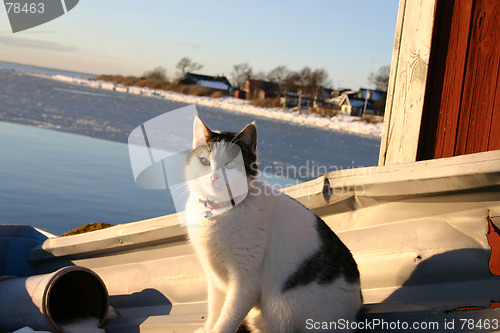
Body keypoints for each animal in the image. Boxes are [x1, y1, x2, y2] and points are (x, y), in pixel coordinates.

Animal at [186, 117, 362, 332]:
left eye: (230, 165)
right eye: (204, 161)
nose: (214, 177)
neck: (219, 212)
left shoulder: (246, 282)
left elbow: (228, 318)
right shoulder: (215, 279)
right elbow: (215, 309)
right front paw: (208, 327)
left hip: (283, 309)